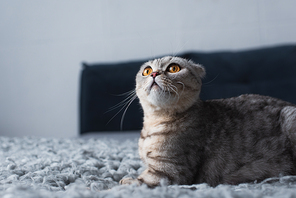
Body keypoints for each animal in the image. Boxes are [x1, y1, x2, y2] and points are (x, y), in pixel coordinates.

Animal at [118, 56, 296, 187]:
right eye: (147, 70)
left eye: (173, 68)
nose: (154, 74)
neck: (155, 121)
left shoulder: (169, 171)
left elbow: (137, 182)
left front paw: (122, 183)